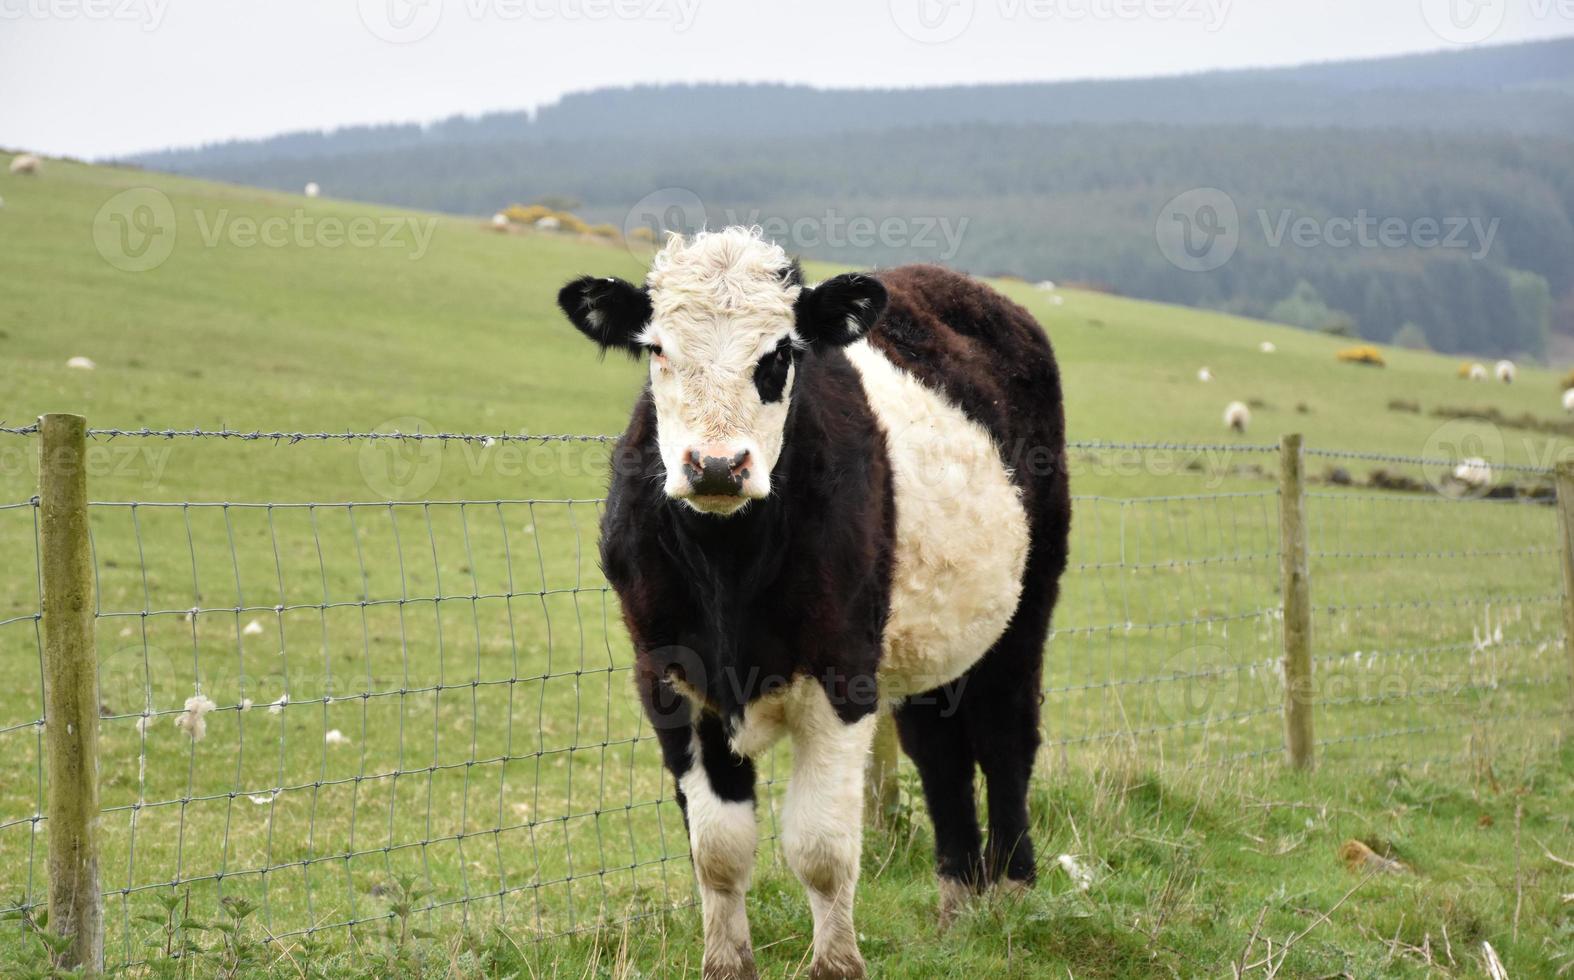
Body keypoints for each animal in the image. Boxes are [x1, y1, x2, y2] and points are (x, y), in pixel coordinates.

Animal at [554, 228, 1070, 980]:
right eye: (657, 350)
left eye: (780, 355)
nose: (716, 466)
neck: (728, 568)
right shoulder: (668, 679)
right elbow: (718, 849)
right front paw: (727, 965)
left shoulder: (842, 677)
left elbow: (821, 850)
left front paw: (837, 964)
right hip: (928, 643)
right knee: (939, 752)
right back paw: (958, 902)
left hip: (1026, 606)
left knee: (1006, 739)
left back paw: (1010, 892)